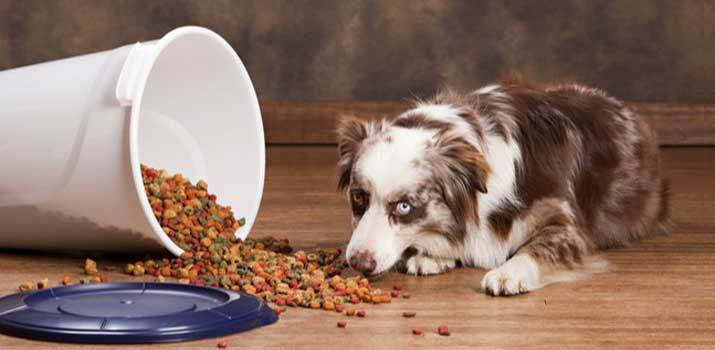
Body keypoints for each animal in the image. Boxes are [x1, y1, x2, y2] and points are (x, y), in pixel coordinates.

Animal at [338, 82, 672, 296]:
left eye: (404, 206)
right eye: (358, 197)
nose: (358, 262)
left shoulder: (568, 226)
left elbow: (537, 247)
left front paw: (508, 273)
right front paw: (432, 255)